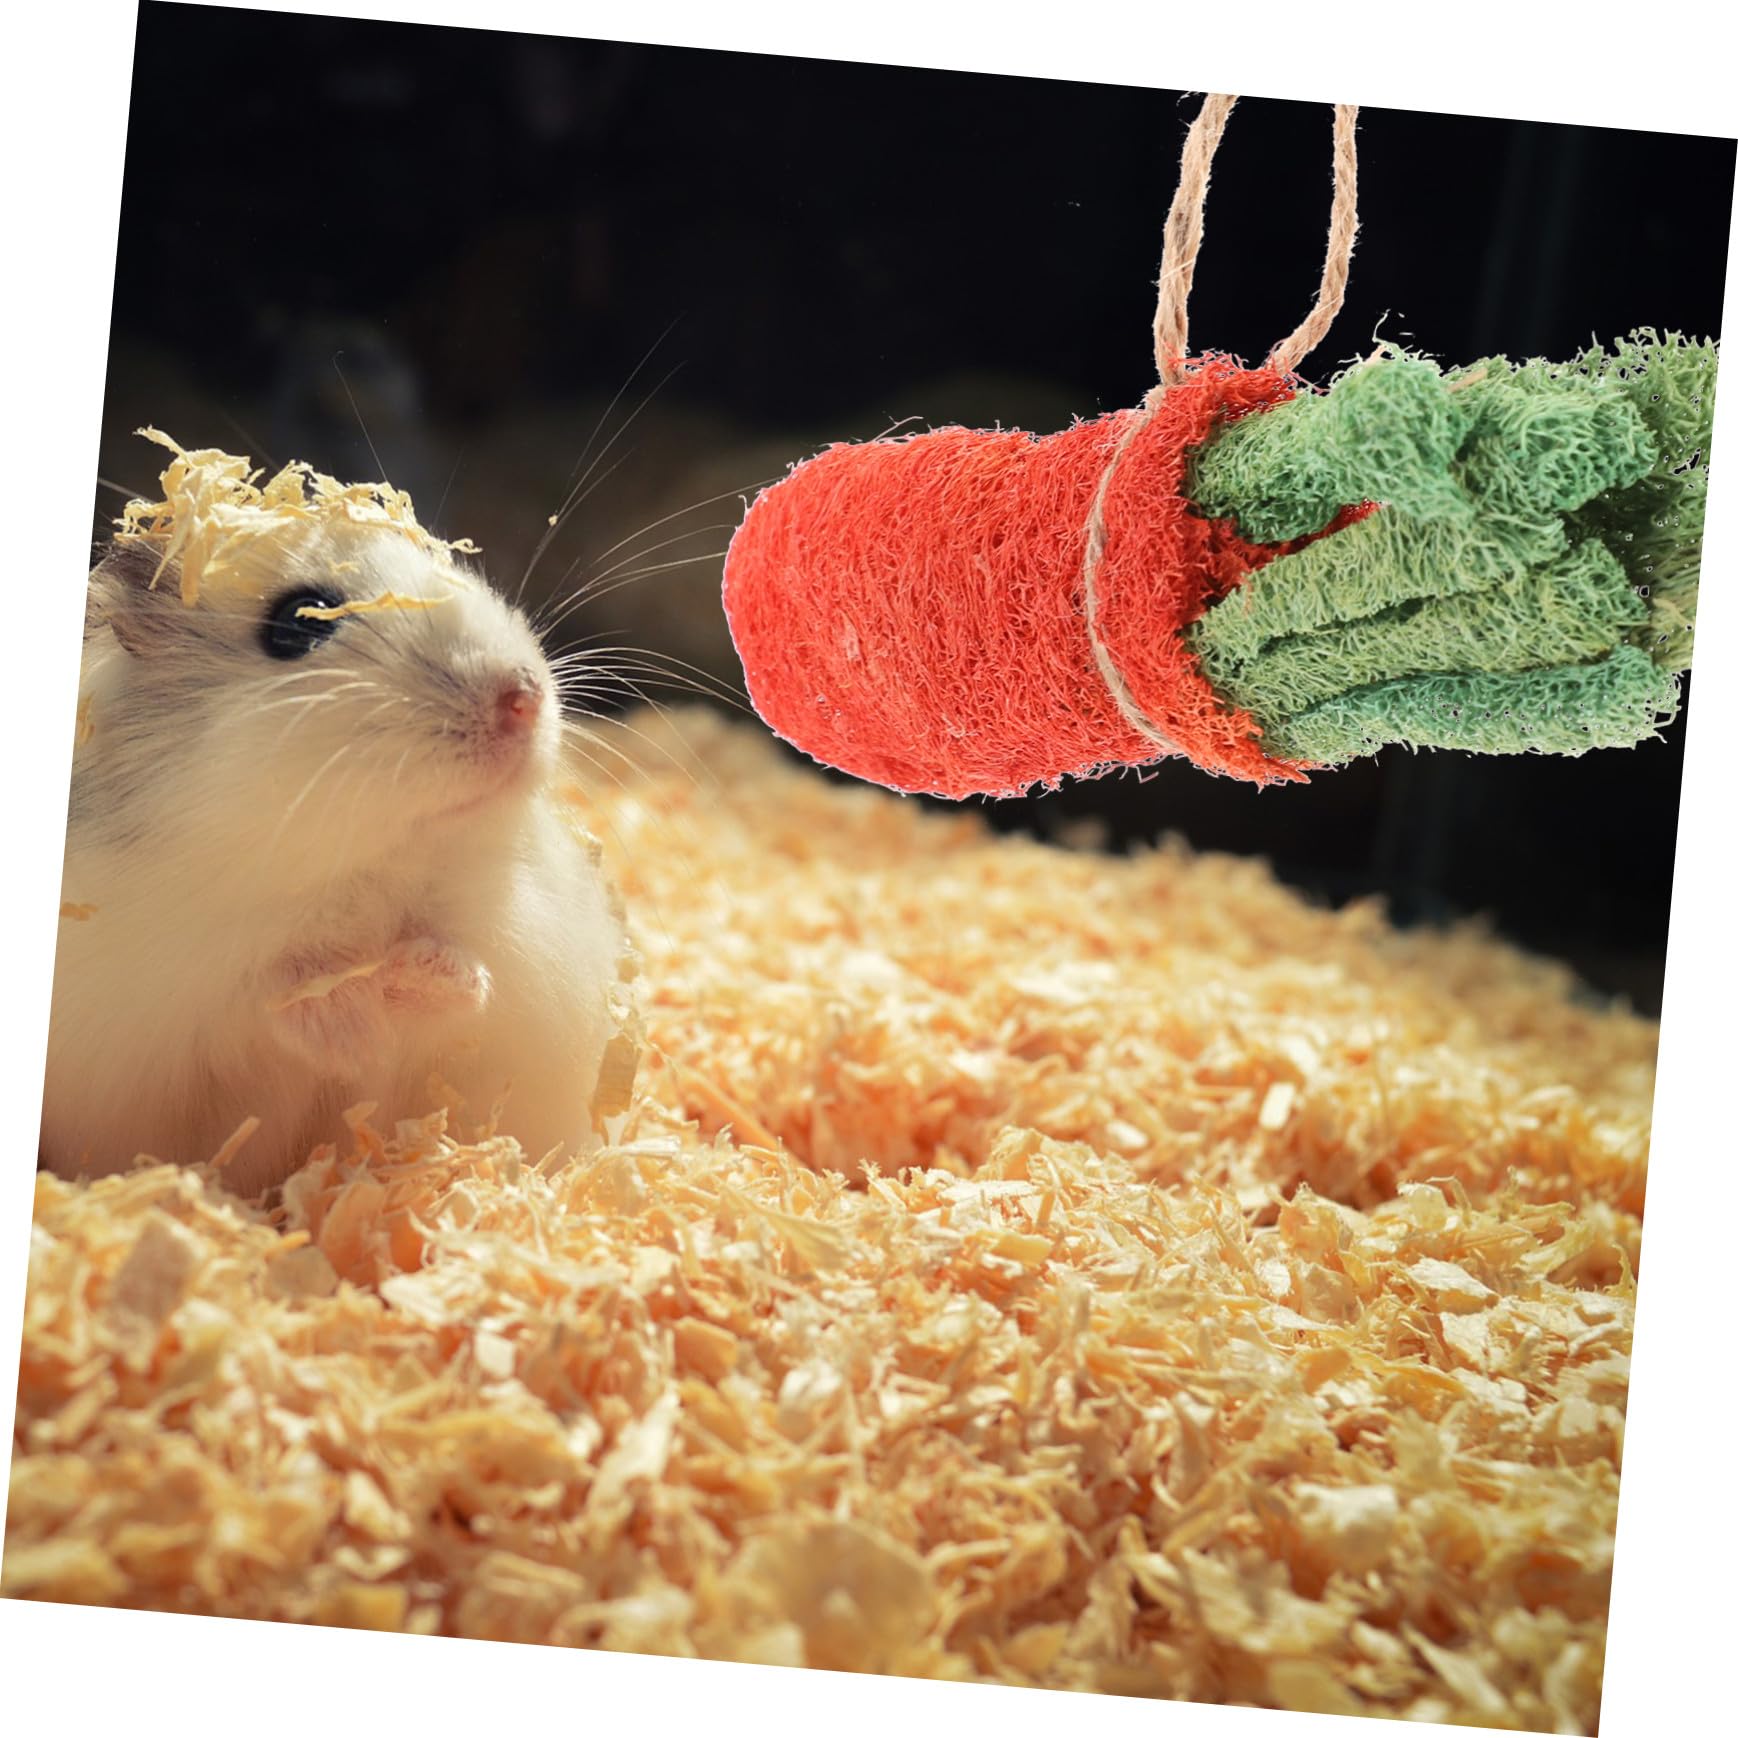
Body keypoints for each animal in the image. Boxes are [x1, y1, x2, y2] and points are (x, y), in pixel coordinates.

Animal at [42, 457, 635, 1198]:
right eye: (298, 622)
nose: (522, 699)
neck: (357, 874)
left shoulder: (521, 944)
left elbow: (466, 970)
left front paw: (425, 979)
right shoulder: (178, 990)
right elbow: (273, 995)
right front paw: (356, 1021)